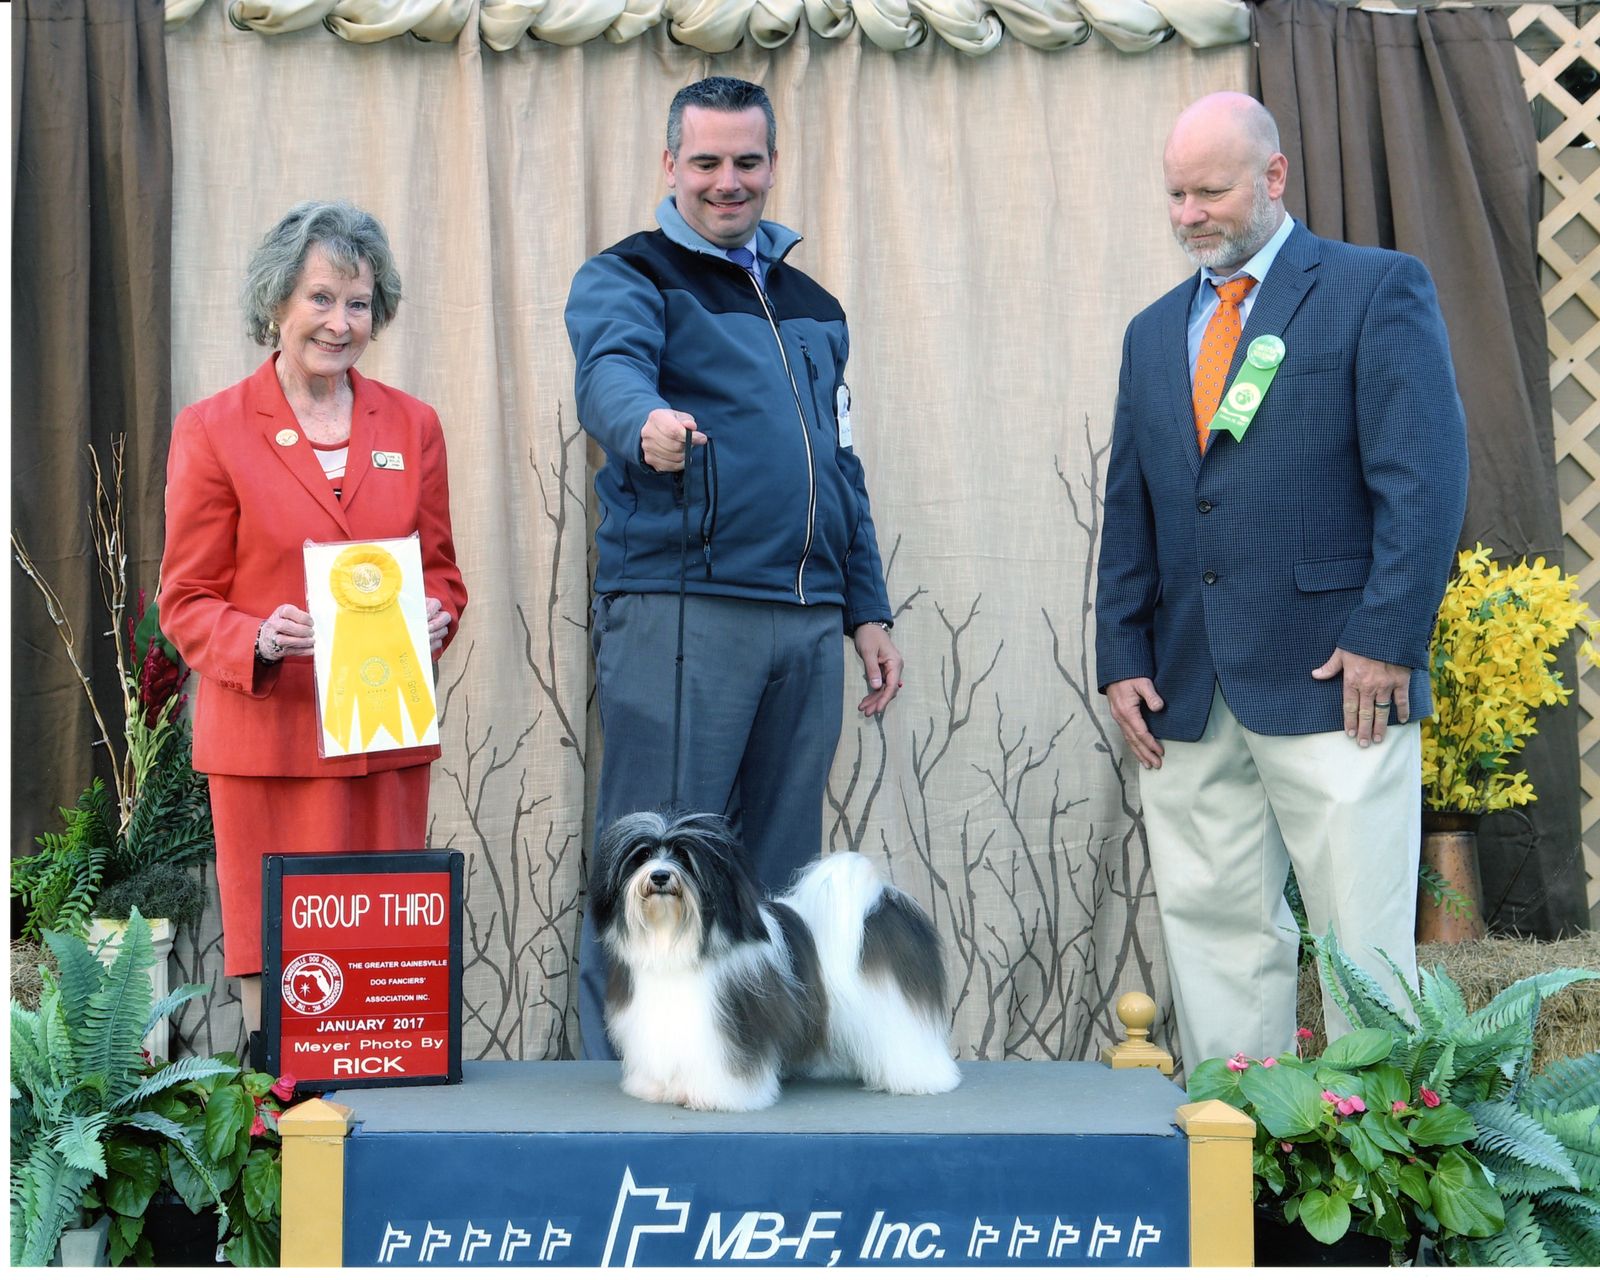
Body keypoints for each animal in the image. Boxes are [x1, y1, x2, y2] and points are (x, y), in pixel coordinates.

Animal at [590, 811, 962, 1112]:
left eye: (684, 856)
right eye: (642, 856)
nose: (660, 876)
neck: (672, 941)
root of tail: (880, 901)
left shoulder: (732, 1024)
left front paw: (717, 1096)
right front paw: (655, 1088)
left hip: (893, 1007)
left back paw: (923, 1079)